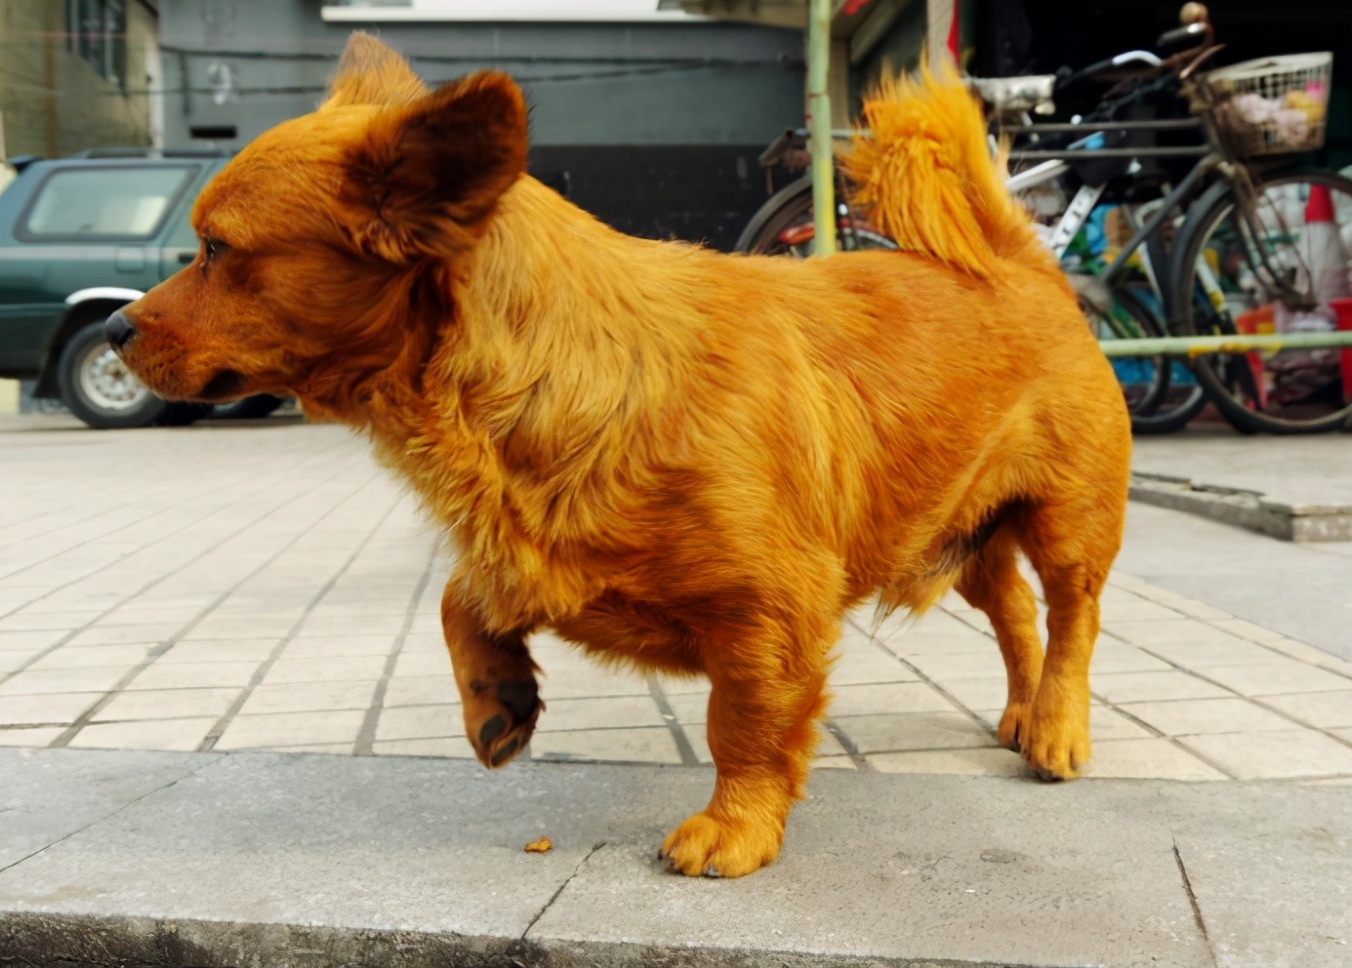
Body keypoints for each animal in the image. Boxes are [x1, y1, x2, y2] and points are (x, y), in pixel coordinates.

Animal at [110, 35, 1130, 876]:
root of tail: (1019, 262)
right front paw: (497, 699)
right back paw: (1023, 710)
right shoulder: (528, 561)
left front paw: (735, 826)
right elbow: (459, 598)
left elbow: (745, 723)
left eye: (214, 249)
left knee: (1071, 619)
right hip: (964, 532)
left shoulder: (769, 613)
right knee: (1015, 615)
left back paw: (1057, 727)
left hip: (1067, 524)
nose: (114, 328)